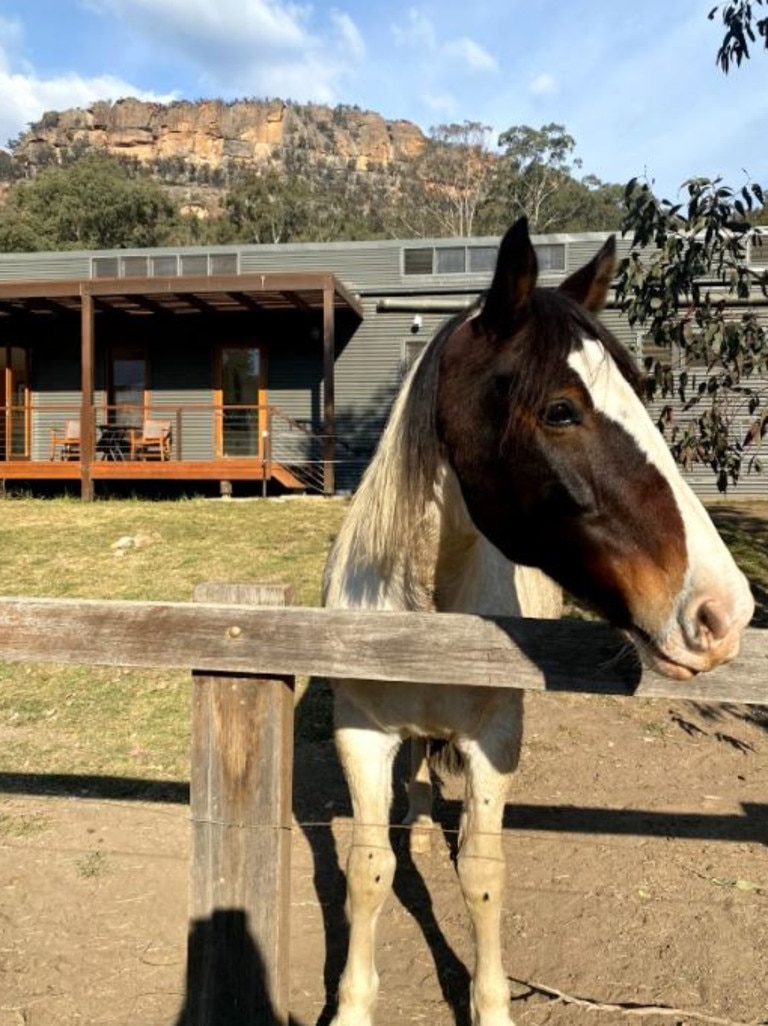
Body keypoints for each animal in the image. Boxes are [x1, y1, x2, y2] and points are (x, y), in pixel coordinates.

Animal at [319, 220, 750, 1026]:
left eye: (641, 392)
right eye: (560, 410)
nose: (723, 611)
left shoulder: (493, 745)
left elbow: (483, 877)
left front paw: (491, 1006)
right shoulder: (359, 734)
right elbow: (368, 869)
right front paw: (353, 1006)